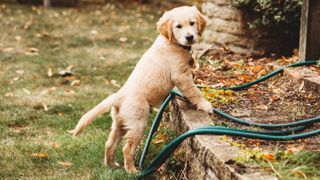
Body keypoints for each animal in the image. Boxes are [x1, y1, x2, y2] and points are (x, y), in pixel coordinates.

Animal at [70, 6, 212, 174]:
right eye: (178, 26)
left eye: (192, 23)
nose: (190, 37)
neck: (171, 42)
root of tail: (119, 96)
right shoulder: (181, 75)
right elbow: (194, 91)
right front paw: (205, 106)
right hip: (138, 122)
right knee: (126, 148)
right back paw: (132, 171)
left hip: (120, 122)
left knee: (110, 143)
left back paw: (110, 166)